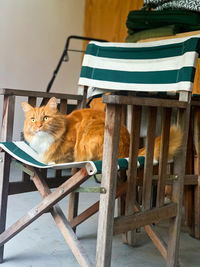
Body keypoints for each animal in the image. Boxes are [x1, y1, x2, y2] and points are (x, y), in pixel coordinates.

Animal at [21, 98, 181, 165]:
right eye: (33, 120)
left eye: (46, 118)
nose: (38, 126)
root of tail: (128, 150)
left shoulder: (71, 149)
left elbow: (59, 158)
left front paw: (50, 161)